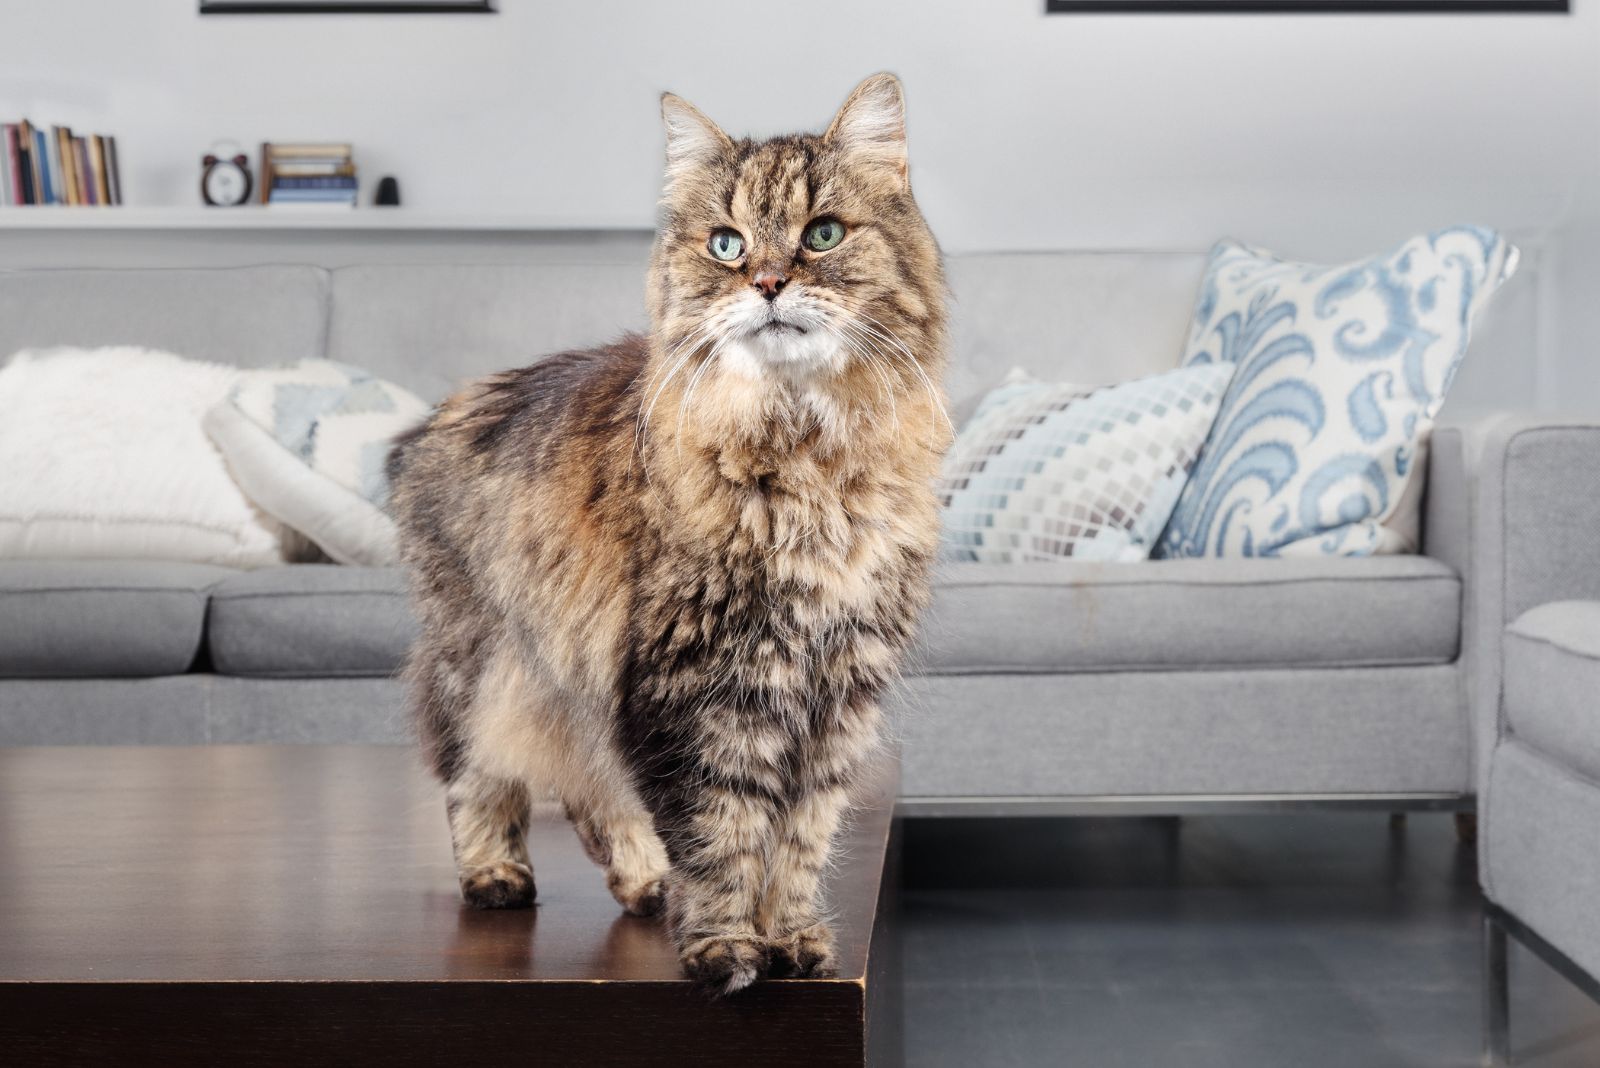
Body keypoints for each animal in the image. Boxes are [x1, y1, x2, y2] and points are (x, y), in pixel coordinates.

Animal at [388, 73, 947, 991]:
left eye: (822, 234)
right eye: (726, 245)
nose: (767, 282)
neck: (807, 461)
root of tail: (424, 425)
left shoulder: (836, 690)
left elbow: (799, 839)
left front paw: (791, 941)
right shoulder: (692, 683)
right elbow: (722, 832)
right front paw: (726, 950)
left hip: (570, 671)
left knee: (593, 787)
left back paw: (646, 881)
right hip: (487, 661)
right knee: (477, 771)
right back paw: (497, 873)